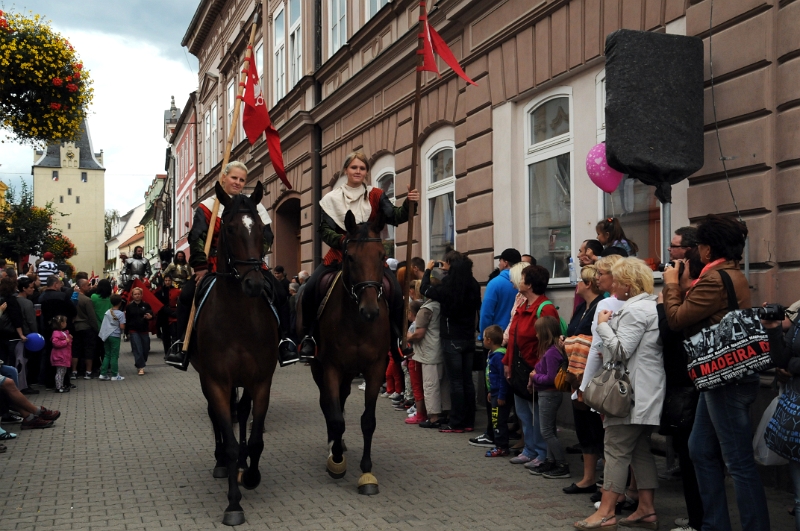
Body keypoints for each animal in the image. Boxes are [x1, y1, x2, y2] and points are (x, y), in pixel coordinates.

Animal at [190, 181, 278, 524]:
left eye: (261, 231)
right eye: (228, 228)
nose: (254, 284)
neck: (239, 319)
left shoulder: (261, 380)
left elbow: (256, 438)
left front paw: (250, 474)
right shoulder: (216, 380)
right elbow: (226, 438)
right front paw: (233, 504)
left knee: (240, 413)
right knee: (218, 416)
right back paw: (222, 465)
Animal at [310, 210, 390, 496]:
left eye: (381, 255)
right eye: (350, 256)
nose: (370, 310)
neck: (357, 322)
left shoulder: (376, 368)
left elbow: (368, 421)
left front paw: (367, 473)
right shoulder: (331, 367)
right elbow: (335, 417)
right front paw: (336, 463)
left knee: (342, 399)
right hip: (321, 369)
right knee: (328, 404)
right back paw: (334, 445)